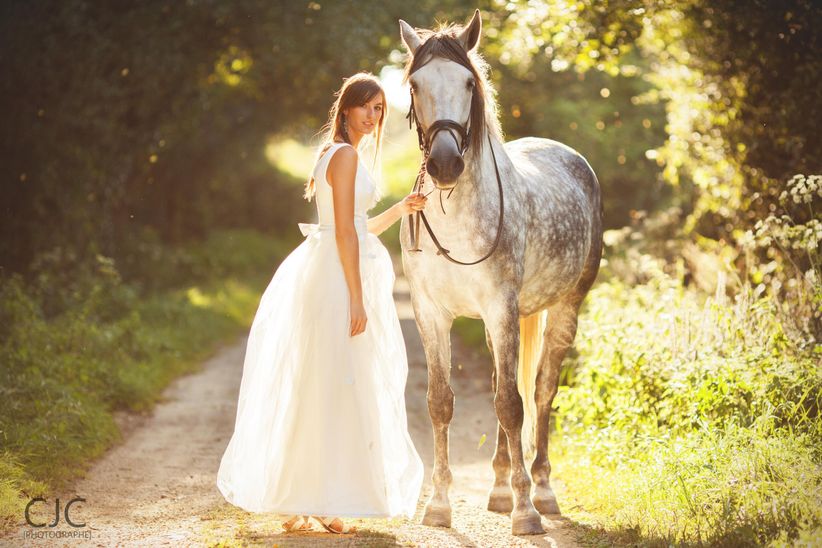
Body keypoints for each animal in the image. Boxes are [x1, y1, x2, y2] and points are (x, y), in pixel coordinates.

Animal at [400, 9, 604, 536]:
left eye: (469, 82)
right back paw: (497, 489)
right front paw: (439, 505)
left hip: (564, 308)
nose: (445, 164)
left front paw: (525, 511)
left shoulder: (502, 308)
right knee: (501, 383)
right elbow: (441, 401)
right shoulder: (432, 313)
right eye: (414, 84)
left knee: (541, 391)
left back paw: (543, 491)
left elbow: (513, 404)